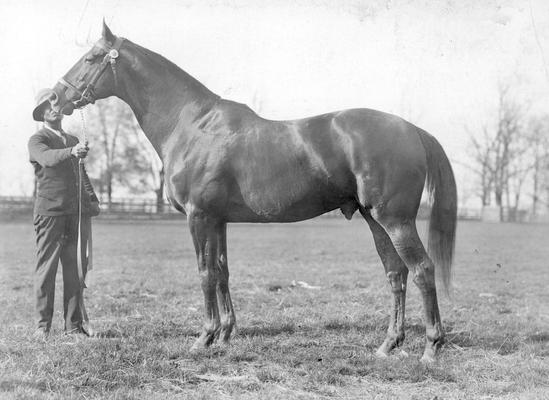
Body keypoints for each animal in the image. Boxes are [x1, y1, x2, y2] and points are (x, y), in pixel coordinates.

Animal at [49, 20, 456, 360]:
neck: (193, 124)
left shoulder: (199, 217)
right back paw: (388, 344)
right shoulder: (218, 220)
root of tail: (412, 129)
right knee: (396, 273)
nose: (53, 100)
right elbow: (222, 271)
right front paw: (224, 335)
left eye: (90, 58)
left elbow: (205, 273)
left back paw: (431, 347)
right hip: (375, 219)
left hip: (395, 220)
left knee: (422, 269)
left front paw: (204, 337)